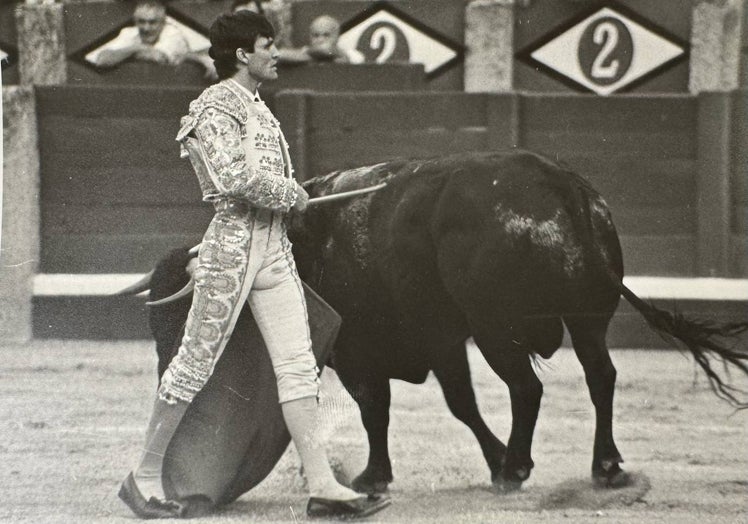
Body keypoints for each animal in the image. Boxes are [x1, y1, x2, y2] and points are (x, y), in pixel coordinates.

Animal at [122, 150, 748, 500]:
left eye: (176, 316)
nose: (165, 370)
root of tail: (558, 183)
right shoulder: (442, 337)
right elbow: (458, 403)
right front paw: (485, 460)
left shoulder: (364, 347)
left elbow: (382, 409)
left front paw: (374, 477)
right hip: (586, 317)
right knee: (601, 378)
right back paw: (605, 466)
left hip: (496, 326)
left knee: (528, 387)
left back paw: (517, 468)